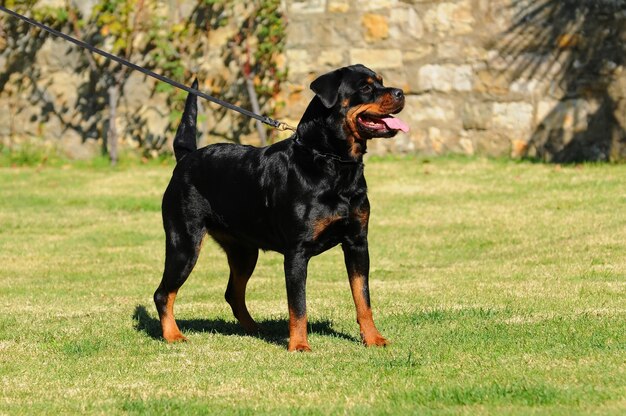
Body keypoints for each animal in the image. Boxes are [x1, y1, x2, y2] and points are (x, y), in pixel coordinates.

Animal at [154, 64, 408, 352]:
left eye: (381, 81)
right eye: (365, 87)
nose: (400, 92)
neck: (332, 163)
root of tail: (185, 158)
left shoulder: (357, 243)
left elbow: (362, 297)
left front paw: (373, 338)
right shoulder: (297, 251)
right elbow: (298, 304)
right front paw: (298, 345)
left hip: (244, 251)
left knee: (232, 293)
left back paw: (254, 330)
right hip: (184, 243)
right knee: (163, 293)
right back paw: (173, 335)